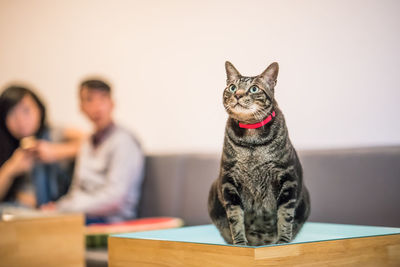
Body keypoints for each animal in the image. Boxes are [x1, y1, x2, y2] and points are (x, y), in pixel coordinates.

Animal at [208, 61, 310, 246]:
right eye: (232, 87)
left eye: (254, 89)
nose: (238, 95)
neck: (252, 141)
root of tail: (261, 242)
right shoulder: (228, 180)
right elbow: (235, 217)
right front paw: (240, 244)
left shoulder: (288, 178)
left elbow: (285, 215)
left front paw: (282, 242)